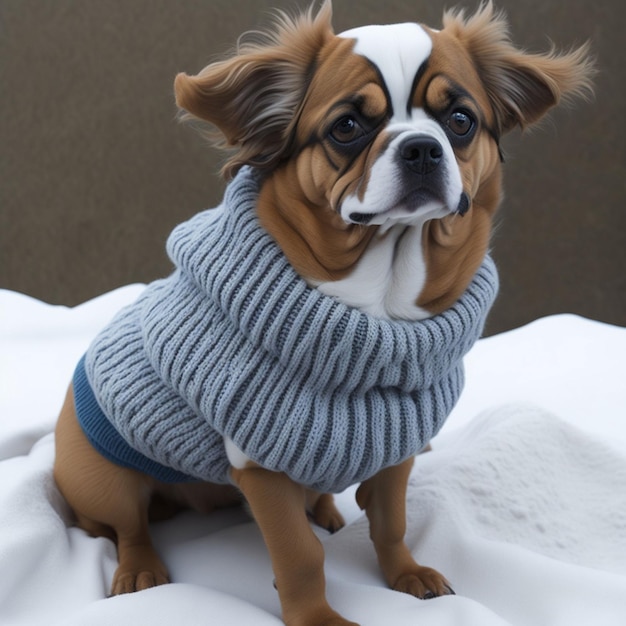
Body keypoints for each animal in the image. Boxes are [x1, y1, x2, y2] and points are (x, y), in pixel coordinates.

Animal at [52, 2, 588, 620]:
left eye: (460, 121)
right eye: (347, 128)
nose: (421, 147)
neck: (380, 298)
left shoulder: (395, 445)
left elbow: (391, 521)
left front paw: (405, 574)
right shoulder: (260, 465)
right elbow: (299, 555)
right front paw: (318, 619)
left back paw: (326, 511)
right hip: (102, 476)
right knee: (129, 526)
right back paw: (140, 568)